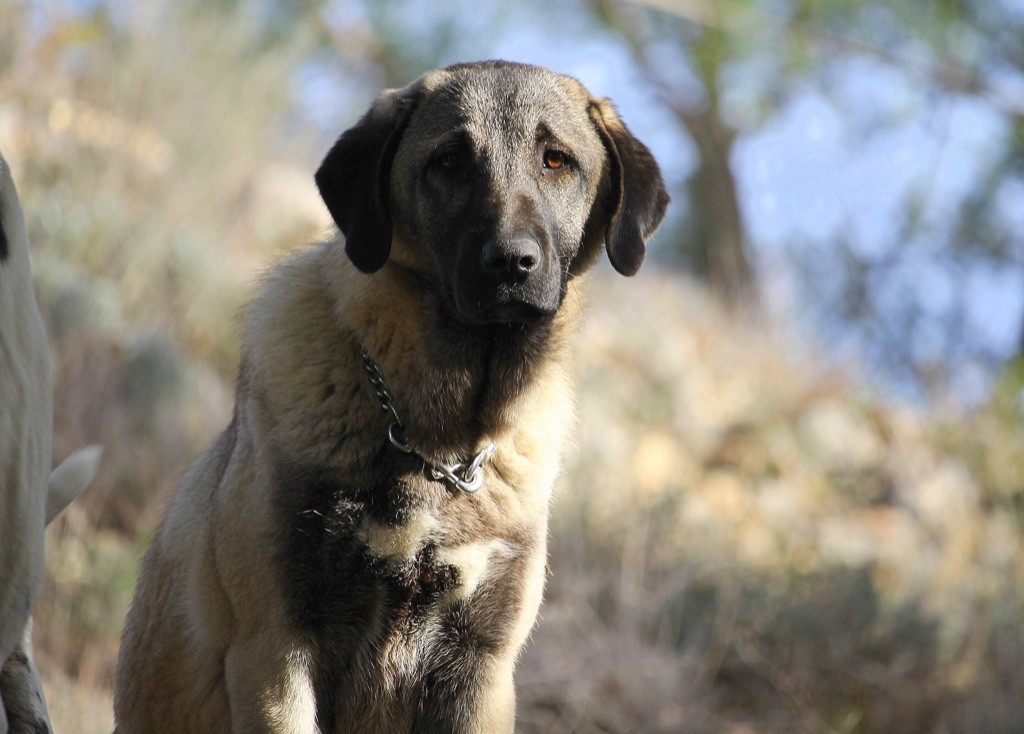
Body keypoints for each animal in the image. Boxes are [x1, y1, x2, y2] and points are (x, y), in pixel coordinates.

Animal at [116, 62, 667, 732]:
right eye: (449, 161)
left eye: (557, 160)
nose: (513, 263)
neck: (440, 443)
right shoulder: (275, 650)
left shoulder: (481, 668)